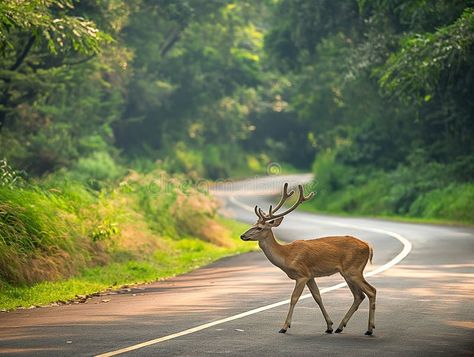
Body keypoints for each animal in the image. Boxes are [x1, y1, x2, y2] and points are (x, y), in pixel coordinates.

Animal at [241, 182, 378, 336]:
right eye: (253, 225)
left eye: (259, 228)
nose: (242, 236)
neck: (286, 256)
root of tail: (368, 246)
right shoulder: (311, 276)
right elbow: (317, 297)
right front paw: (329, 325)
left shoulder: (302, 274)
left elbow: (294, 298)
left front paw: (284, 327)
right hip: (347, 273)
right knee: (359, 296)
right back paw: (340, 327)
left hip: (353, 270)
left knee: (371, 291)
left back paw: (369, 329)